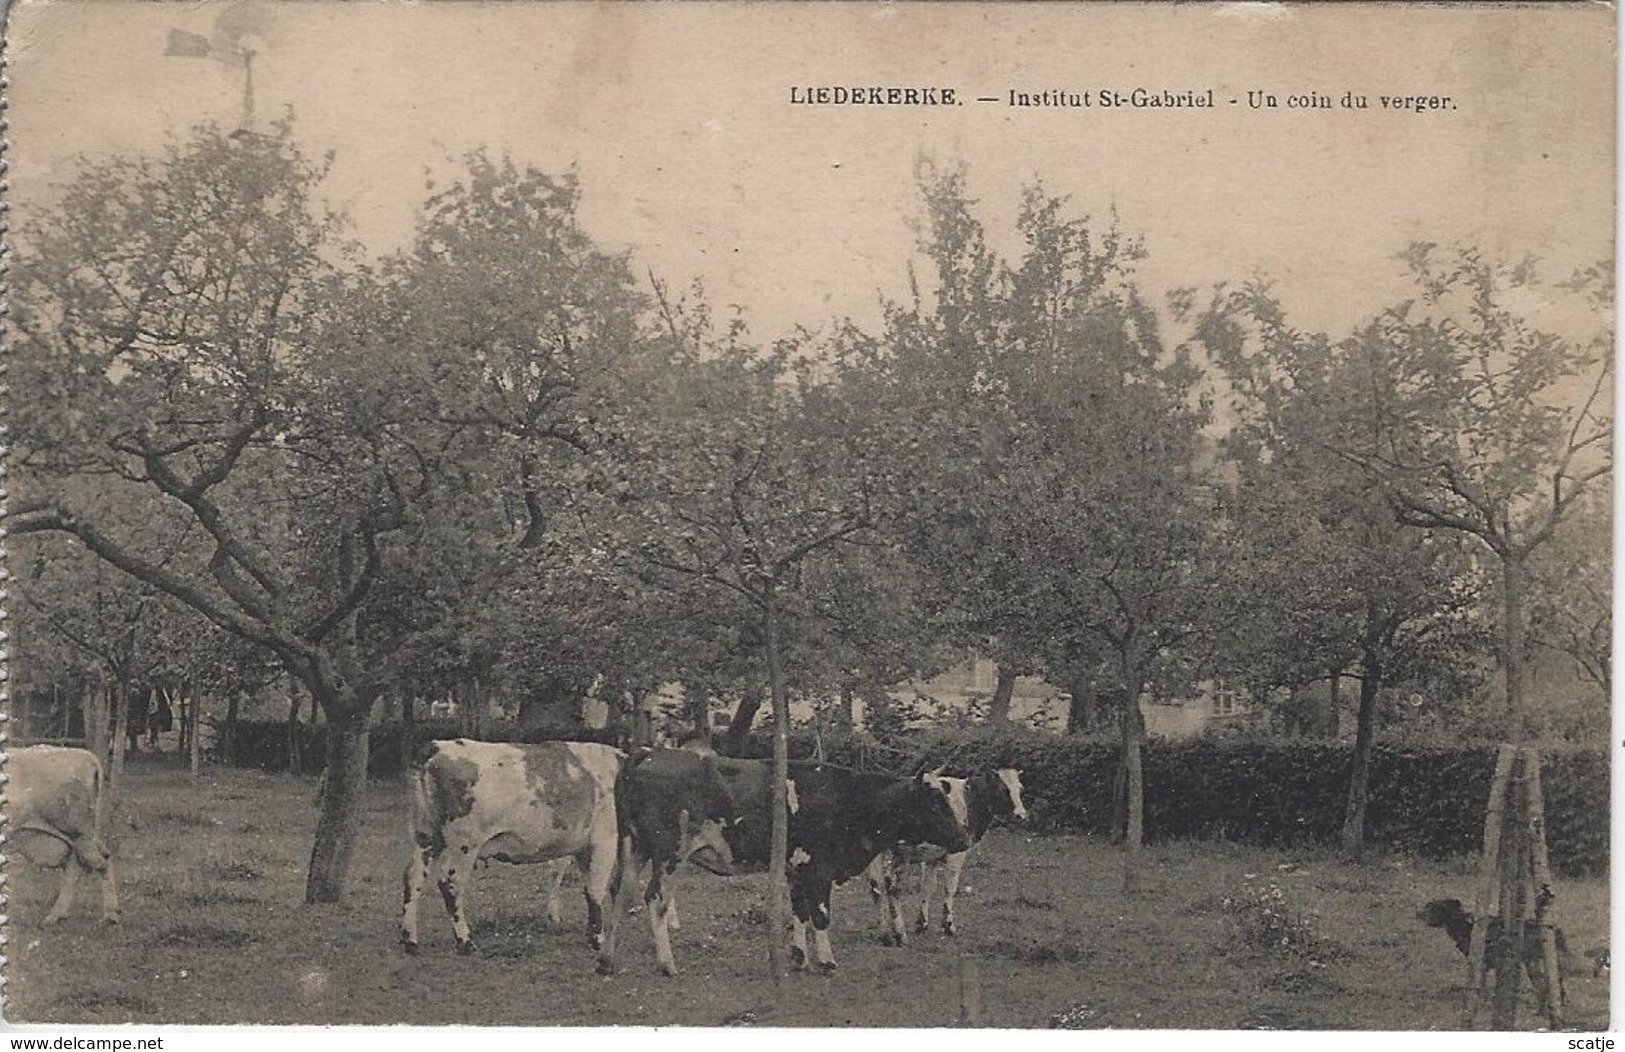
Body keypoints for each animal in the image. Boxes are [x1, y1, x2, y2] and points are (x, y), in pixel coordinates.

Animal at [8, 744, 119, 923]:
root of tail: (86, 756)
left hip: (79, 833)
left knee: (98, 863)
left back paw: (110, 915)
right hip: (81, 836)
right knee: (91, 861)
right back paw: (56, 915)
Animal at [607, 754, 962, 975]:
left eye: (946, 797)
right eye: (934, 803)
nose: (964, 837)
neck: (850, 800)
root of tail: (645, 754)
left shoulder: (797, 869)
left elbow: (800, 913)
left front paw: (799, 958)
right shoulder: (818, 867)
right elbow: (820, 915)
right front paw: (826, 962)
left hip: (636, 848)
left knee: (620, 894)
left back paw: (606, 960)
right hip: (669, 854)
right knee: (655, 899)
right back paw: (666, 964)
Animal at [864, 770, 1027, 943]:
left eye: (1021, 789)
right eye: (1003, 789)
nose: (1021, 815)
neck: (968, 797)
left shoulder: (931, 857)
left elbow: (927, 887)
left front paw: (922, 924)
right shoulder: (957, 854)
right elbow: (950, 888)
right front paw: (948, 927)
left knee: (875, 887)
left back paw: (884, 933)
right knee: (891, 887)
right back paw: (899, 934)